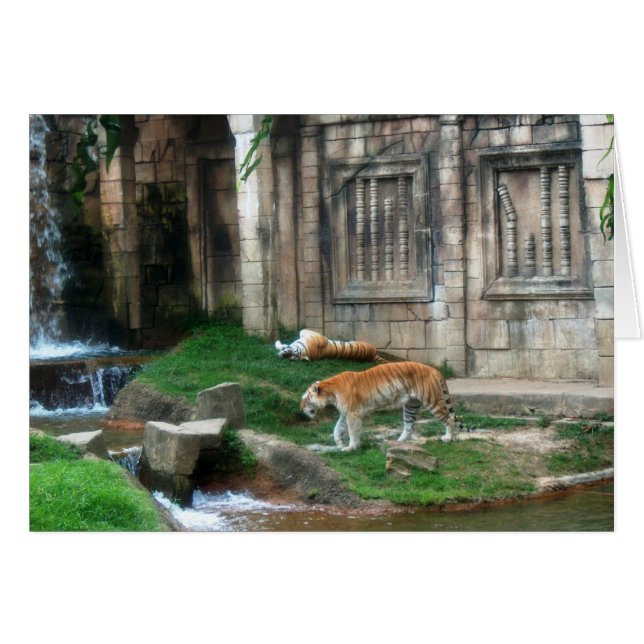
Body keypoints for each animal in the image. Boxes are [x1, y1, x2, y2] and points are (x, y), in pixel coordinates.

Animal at [300, 361, 458, 451]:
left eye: (306, 399)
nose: (300, 410)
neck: (330, 393)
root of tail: (434, 370)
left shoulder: (352, 413)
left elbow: (352, 431)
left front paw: (350, 448)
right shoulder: (346, 414)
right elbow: (337, 428)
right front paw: (339, 443)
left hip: (432, 401)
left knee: (449, 419)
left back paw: (448, 438)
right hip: (411, 406)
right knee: (409, 426)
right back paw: (397, 443)